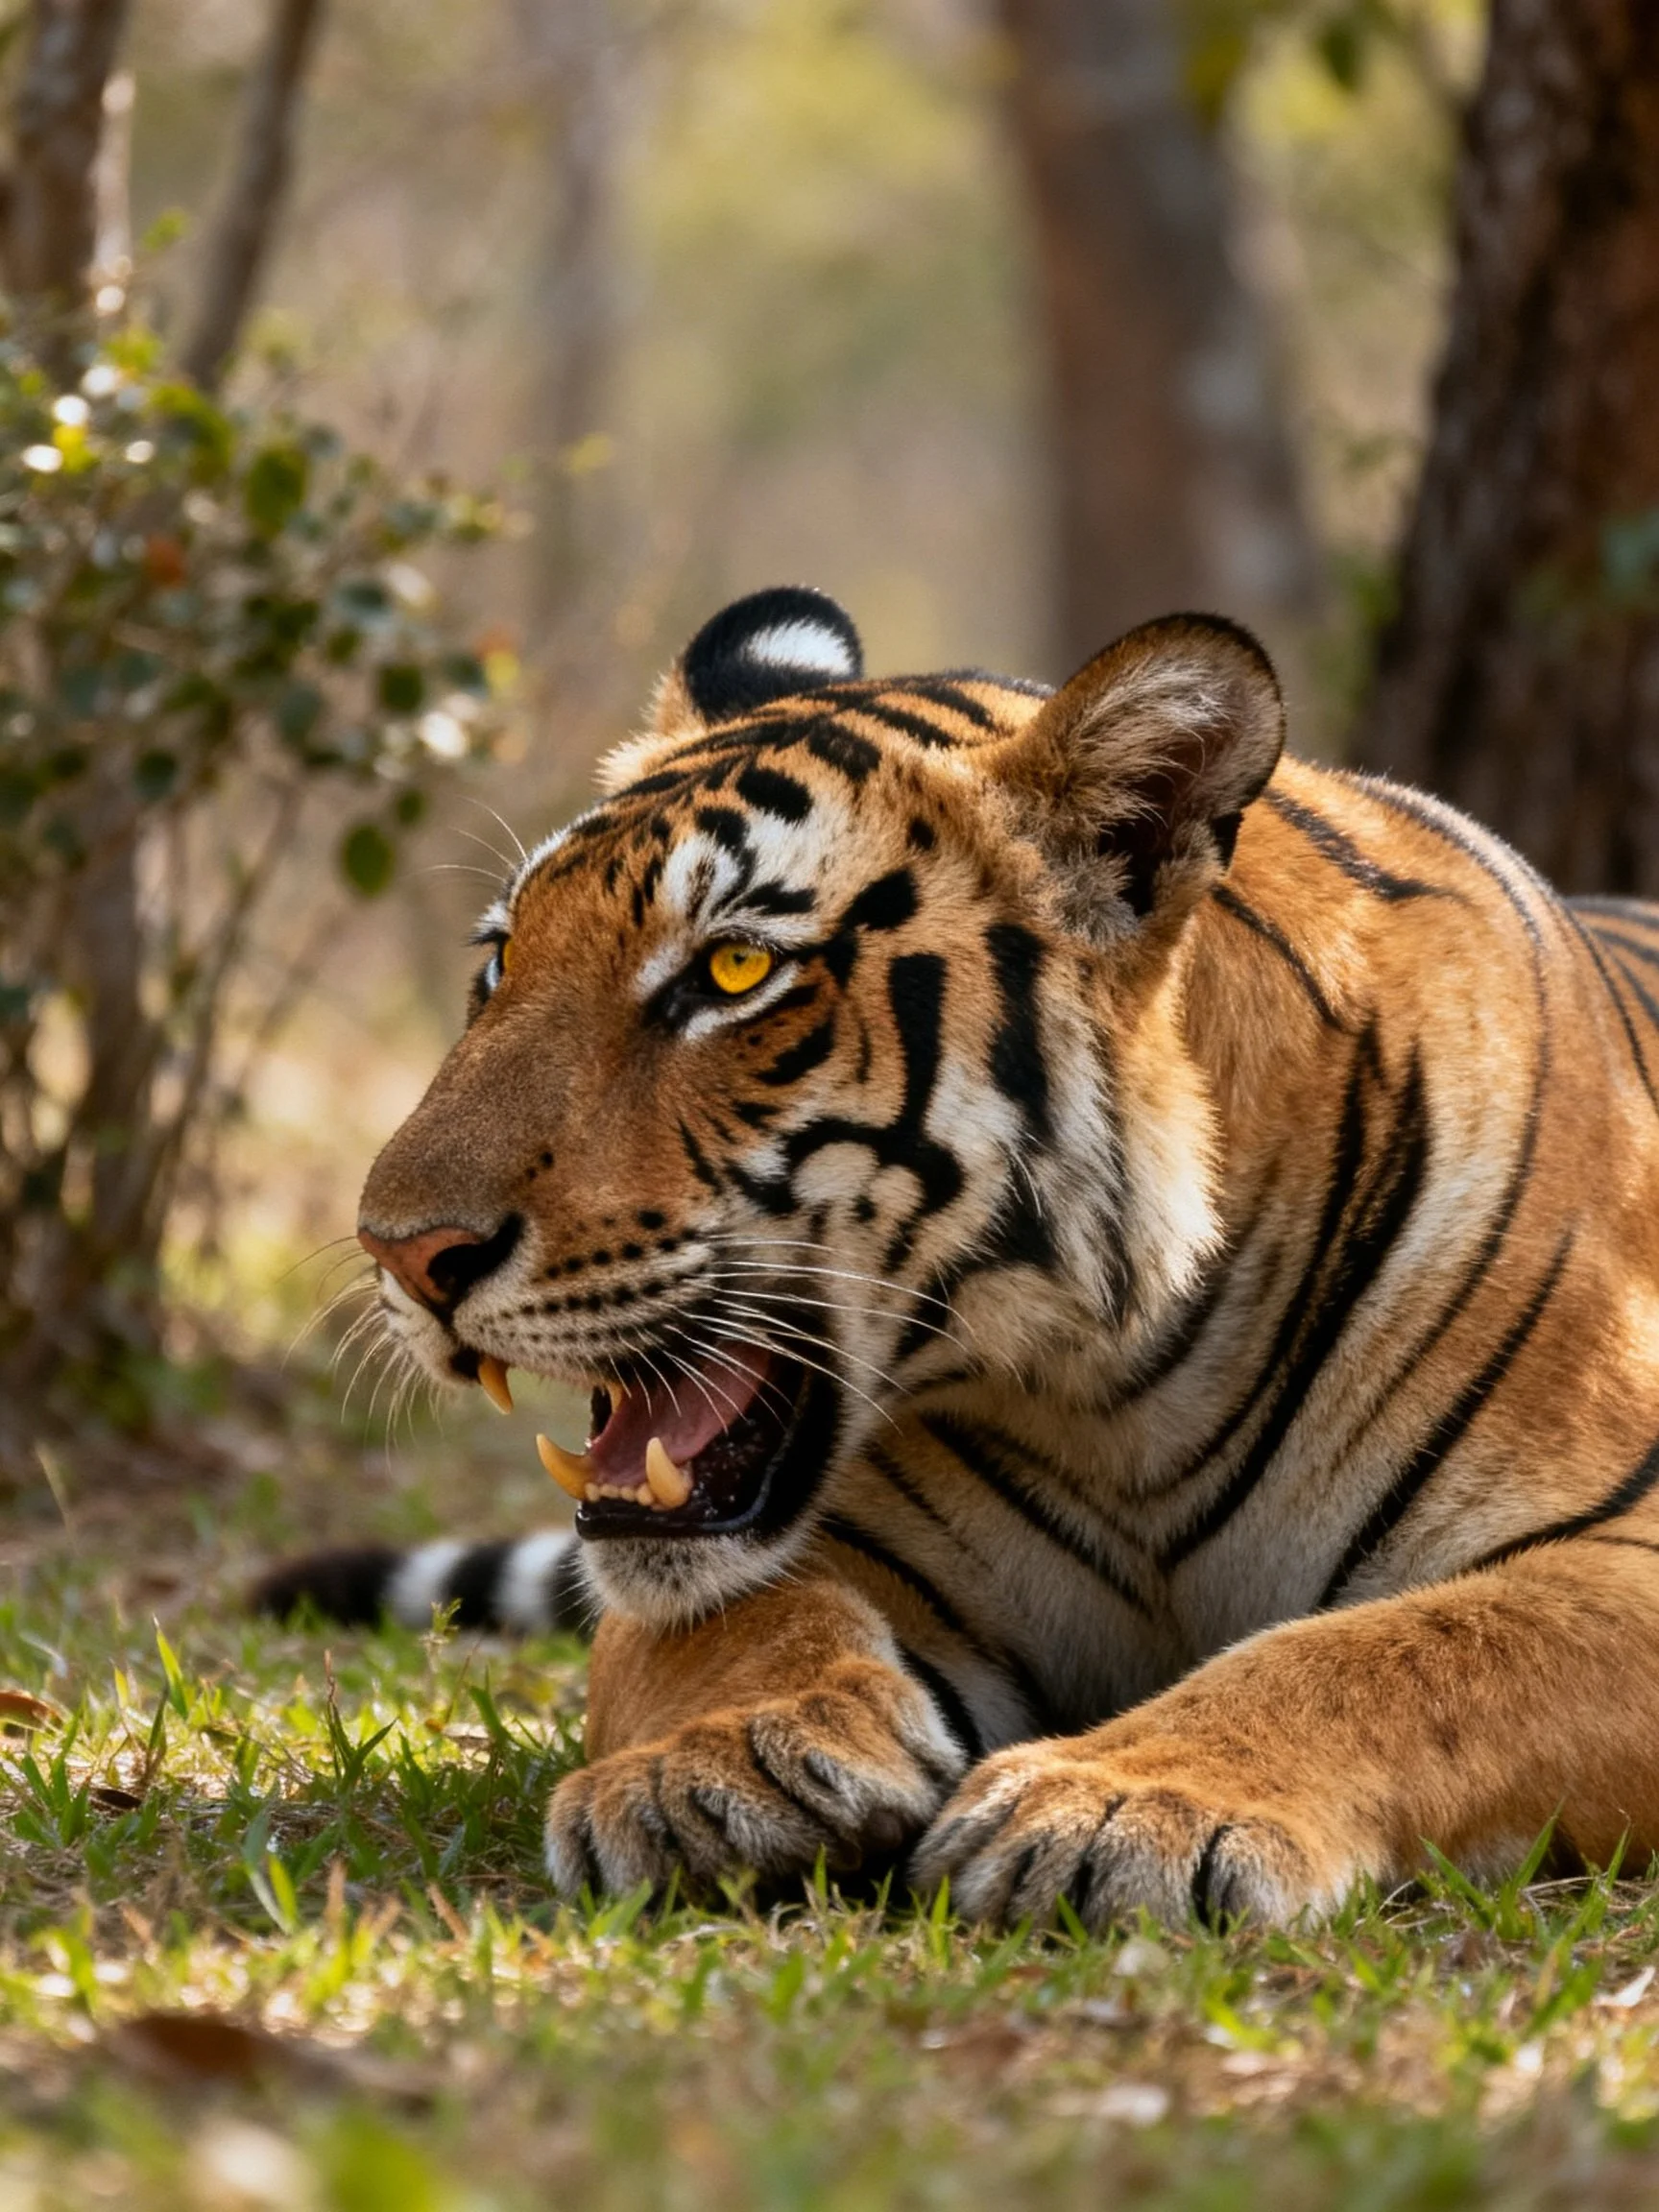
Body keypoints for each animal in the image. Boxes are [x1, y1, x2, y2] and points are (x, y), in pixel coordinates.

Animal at [259, 583, 1659, 1929]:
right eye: (502, 961)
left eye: (734, 969)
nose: (403, 1251)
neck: (1122, 1396)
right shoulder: (807, 1546)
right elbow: (723, 1621)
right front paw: (707, 1772)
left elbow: (1388, 1656)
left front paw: (1119, 1806)